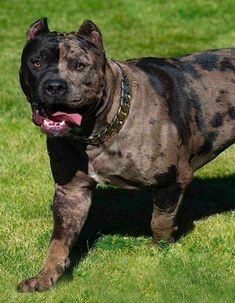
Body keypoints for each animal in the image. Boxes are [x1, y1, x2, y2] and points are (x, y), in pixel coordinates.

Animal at [17, 17, 235, 292]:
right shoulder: (71, 191)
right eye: (36, 62)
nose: (54, 86)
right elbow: (58, 239)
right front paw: (46, 276)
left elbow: (159, 221)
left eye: (80, 65)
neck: (96, 133)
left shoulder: (173, 180)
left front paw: (160, 250)